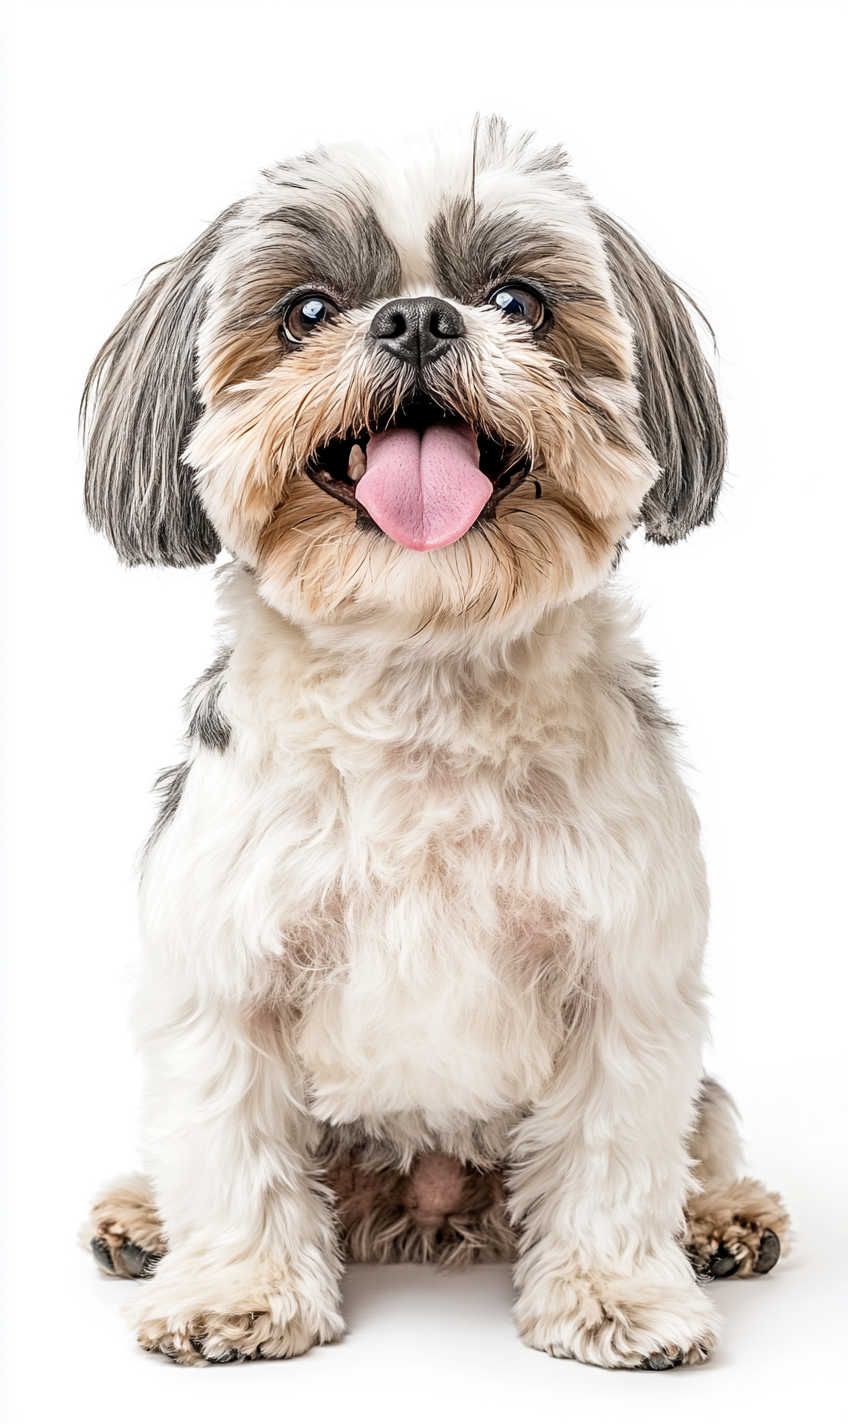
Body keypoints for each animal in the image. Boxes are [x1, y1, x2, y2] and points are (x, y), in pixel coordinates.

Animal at [81, 116, 791, 1361]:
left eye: (517, 300)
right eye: (307, 311)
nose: (416, 318)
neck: (423, 666)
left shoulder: (623, 976)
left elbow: (617, 1148)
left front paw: (616, 1293)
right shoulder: (224, 973)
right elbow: (229, 1141)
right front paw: (236, 1289)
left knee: (700, 1127)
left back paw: (720, 1215)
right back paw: (141, 1216)